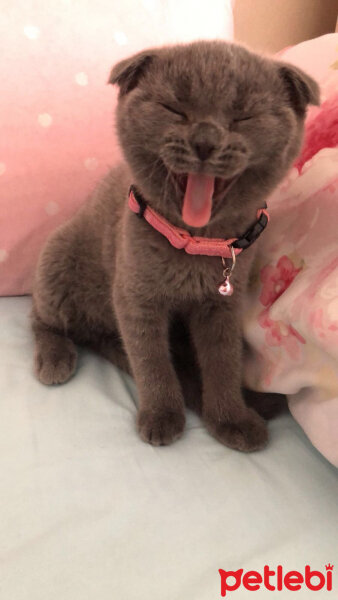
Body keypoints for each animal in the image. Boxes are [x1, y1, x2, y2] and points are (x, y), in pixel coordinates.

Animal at [31, 39, 320, 450]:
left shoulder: (222, 306)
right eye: (174, 109)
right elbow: (151, 360)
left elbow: (223, 360)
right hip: (56, 263)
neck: (195, 243)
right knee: (42, 319)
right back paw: (55, 358)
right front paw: (162, 415)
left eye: (243, 117)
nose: (205, 140)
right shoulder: (135, 297)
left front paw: (230, 418)